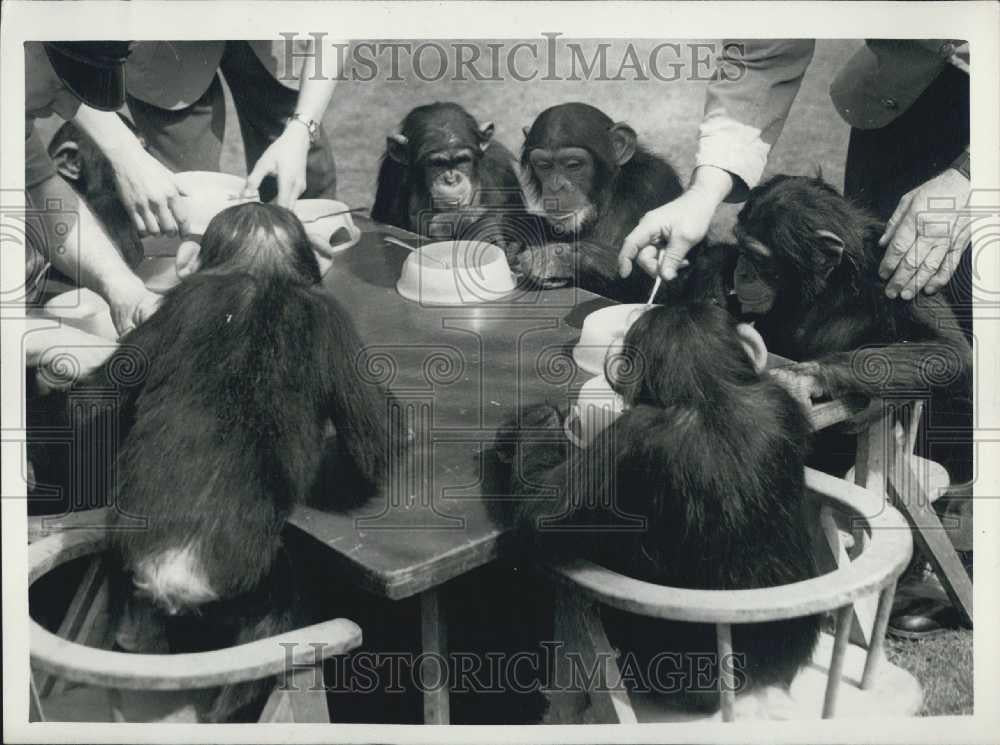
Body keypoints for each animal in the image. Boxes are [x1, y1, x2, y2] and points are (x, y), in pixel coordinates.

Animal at [76, 203, 396, 720]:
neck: (258, 273)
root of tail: (176, 572)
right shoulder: (332, 320)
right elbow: (375, 438)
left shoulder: (173, 307)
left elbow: (96, 395)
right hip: (259, 586)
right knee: (280, 620)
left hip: (125, 565)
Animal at [370, 100, 524, 241]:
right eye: (437, 163)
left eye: (462, 160)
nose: (451, 179)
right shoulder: (392, 173)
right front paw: (460, 220)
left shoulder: (500, 166)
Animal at [516, 101, 688, 302]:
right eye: (544, 166)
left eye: (573, 165)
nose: (555, 186)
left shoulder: (657, 184)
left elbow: (665, 282)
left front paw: (550, 258)